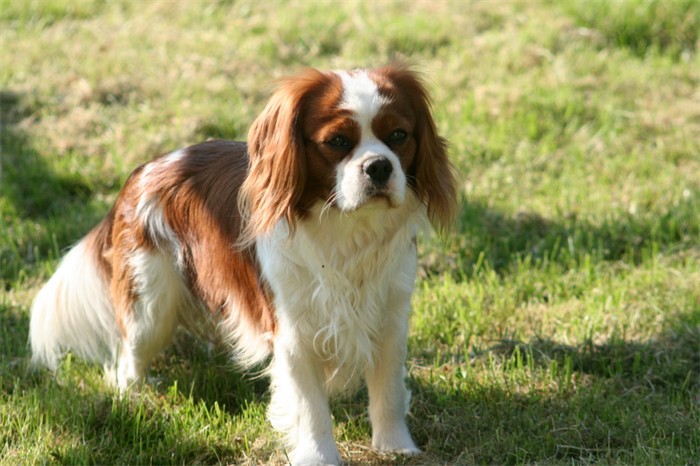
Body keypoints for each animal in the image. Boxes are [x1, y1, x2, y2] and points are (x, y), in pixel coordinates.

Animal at [31, 63, 460, 464]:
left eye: (399, 136)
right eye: (337, 142)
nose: (380, 166)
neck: (347, 230)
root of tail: (139, 175)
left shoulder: (389, 318)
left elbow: (388, 391)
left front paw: (396, 448)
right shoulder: (294, 333)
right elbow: (311, 409)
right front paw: (319, 457)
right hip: (149, 305)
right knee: (128, 360)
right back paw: (134, 398)